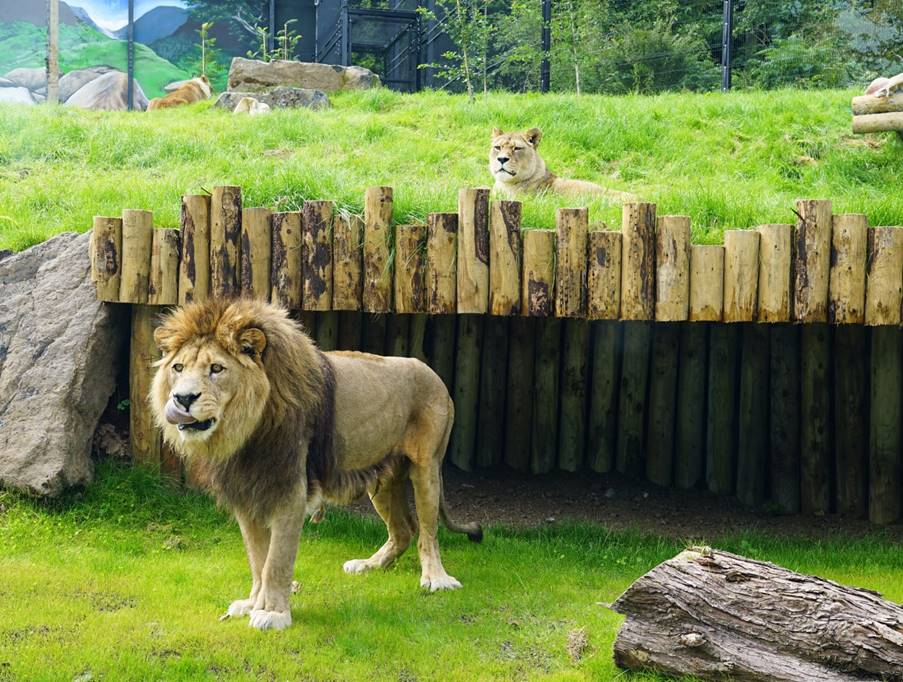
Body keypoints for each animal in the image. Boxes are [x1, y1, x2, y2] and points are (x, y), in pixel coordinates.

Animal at [152, 300, 484, 628]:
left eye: (216, 369)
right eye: (178, 368)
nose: (183, 398)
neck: (244, 431)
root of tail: (433, 373)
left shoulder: (289, 491)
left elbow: (276, 561)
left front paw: (273, 614)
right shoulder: (247, 492)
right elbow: (257, 560)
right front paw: (251, 603)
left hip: (426, 467)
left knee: (427, 531)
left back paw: (436, 579)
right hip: (383, 478)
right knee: (404, 529)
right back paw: (368, 565)